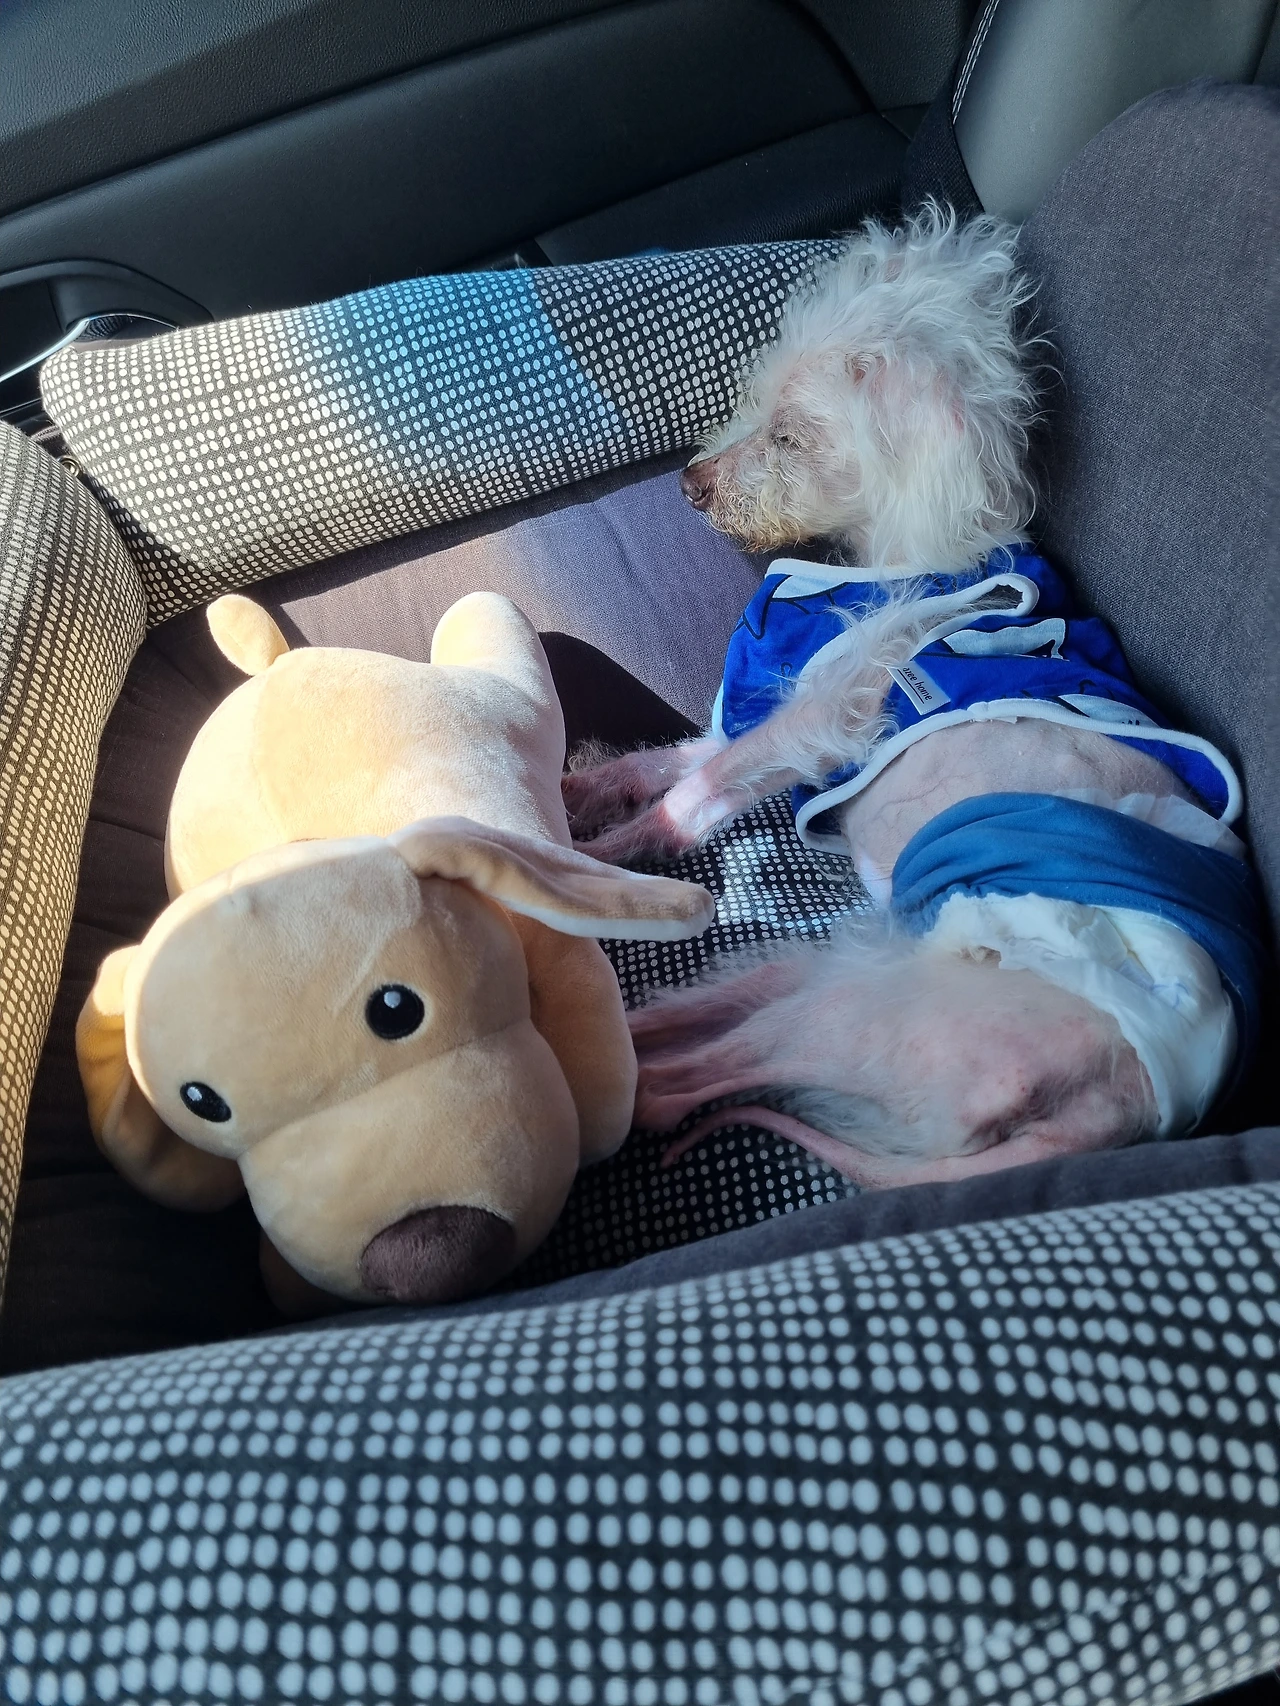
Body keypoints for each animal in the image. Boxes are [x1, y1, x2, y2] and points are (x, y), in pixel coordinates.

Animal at [563, 205, 1266, 1189]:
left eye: (790, 435)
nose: (690, 485)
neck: (908, 550)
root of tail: (1121, 1108)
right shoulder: (780, 710)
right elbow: (672, 763)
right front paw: (575, 792)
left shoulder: (830, 710)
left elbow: (697, 792)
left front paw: (605, 855)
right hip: (834, 968)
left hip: (859, 1007)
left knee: (670, 1087)